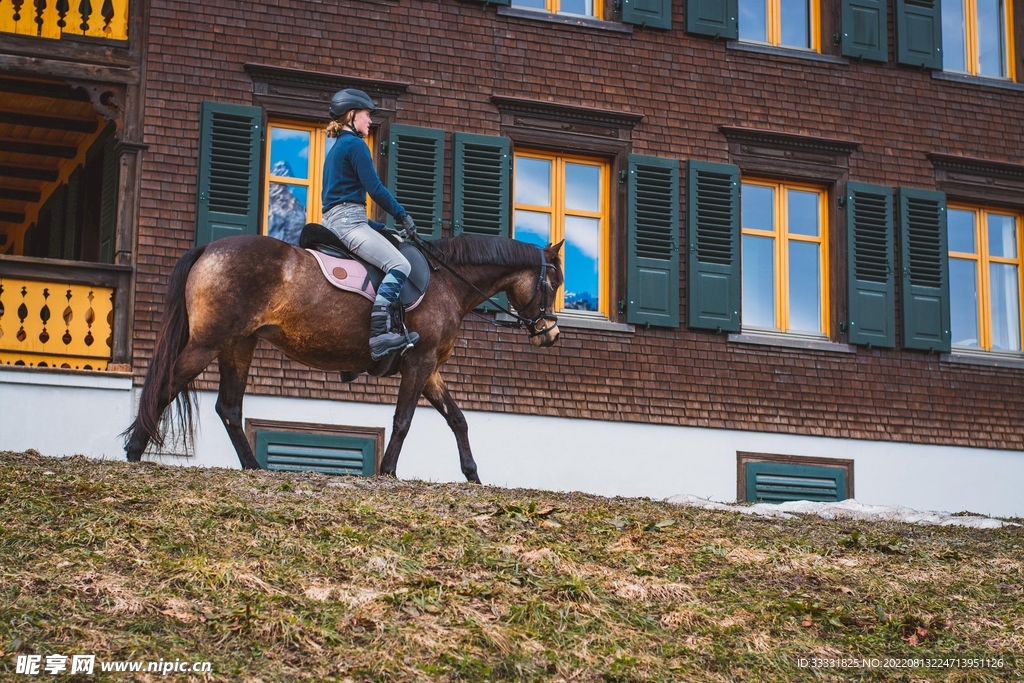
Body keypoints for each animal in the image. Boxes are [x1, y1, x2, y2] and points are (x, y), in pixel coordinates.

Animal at [122, 233, 563, 483]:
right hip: (210, 342)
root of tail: (209, 248)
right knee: (166, 386)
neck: (446, 282)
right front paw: (388, 473)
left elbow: (458, 419)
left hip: (238, 345)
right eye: (554, 281)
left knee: (229, 408)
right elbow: (403, 421)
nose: (551, 333)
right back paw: (134, 451)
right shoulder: (419, 363)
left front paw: (473, 476)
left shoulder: (429, 370)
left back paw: (253, 468)